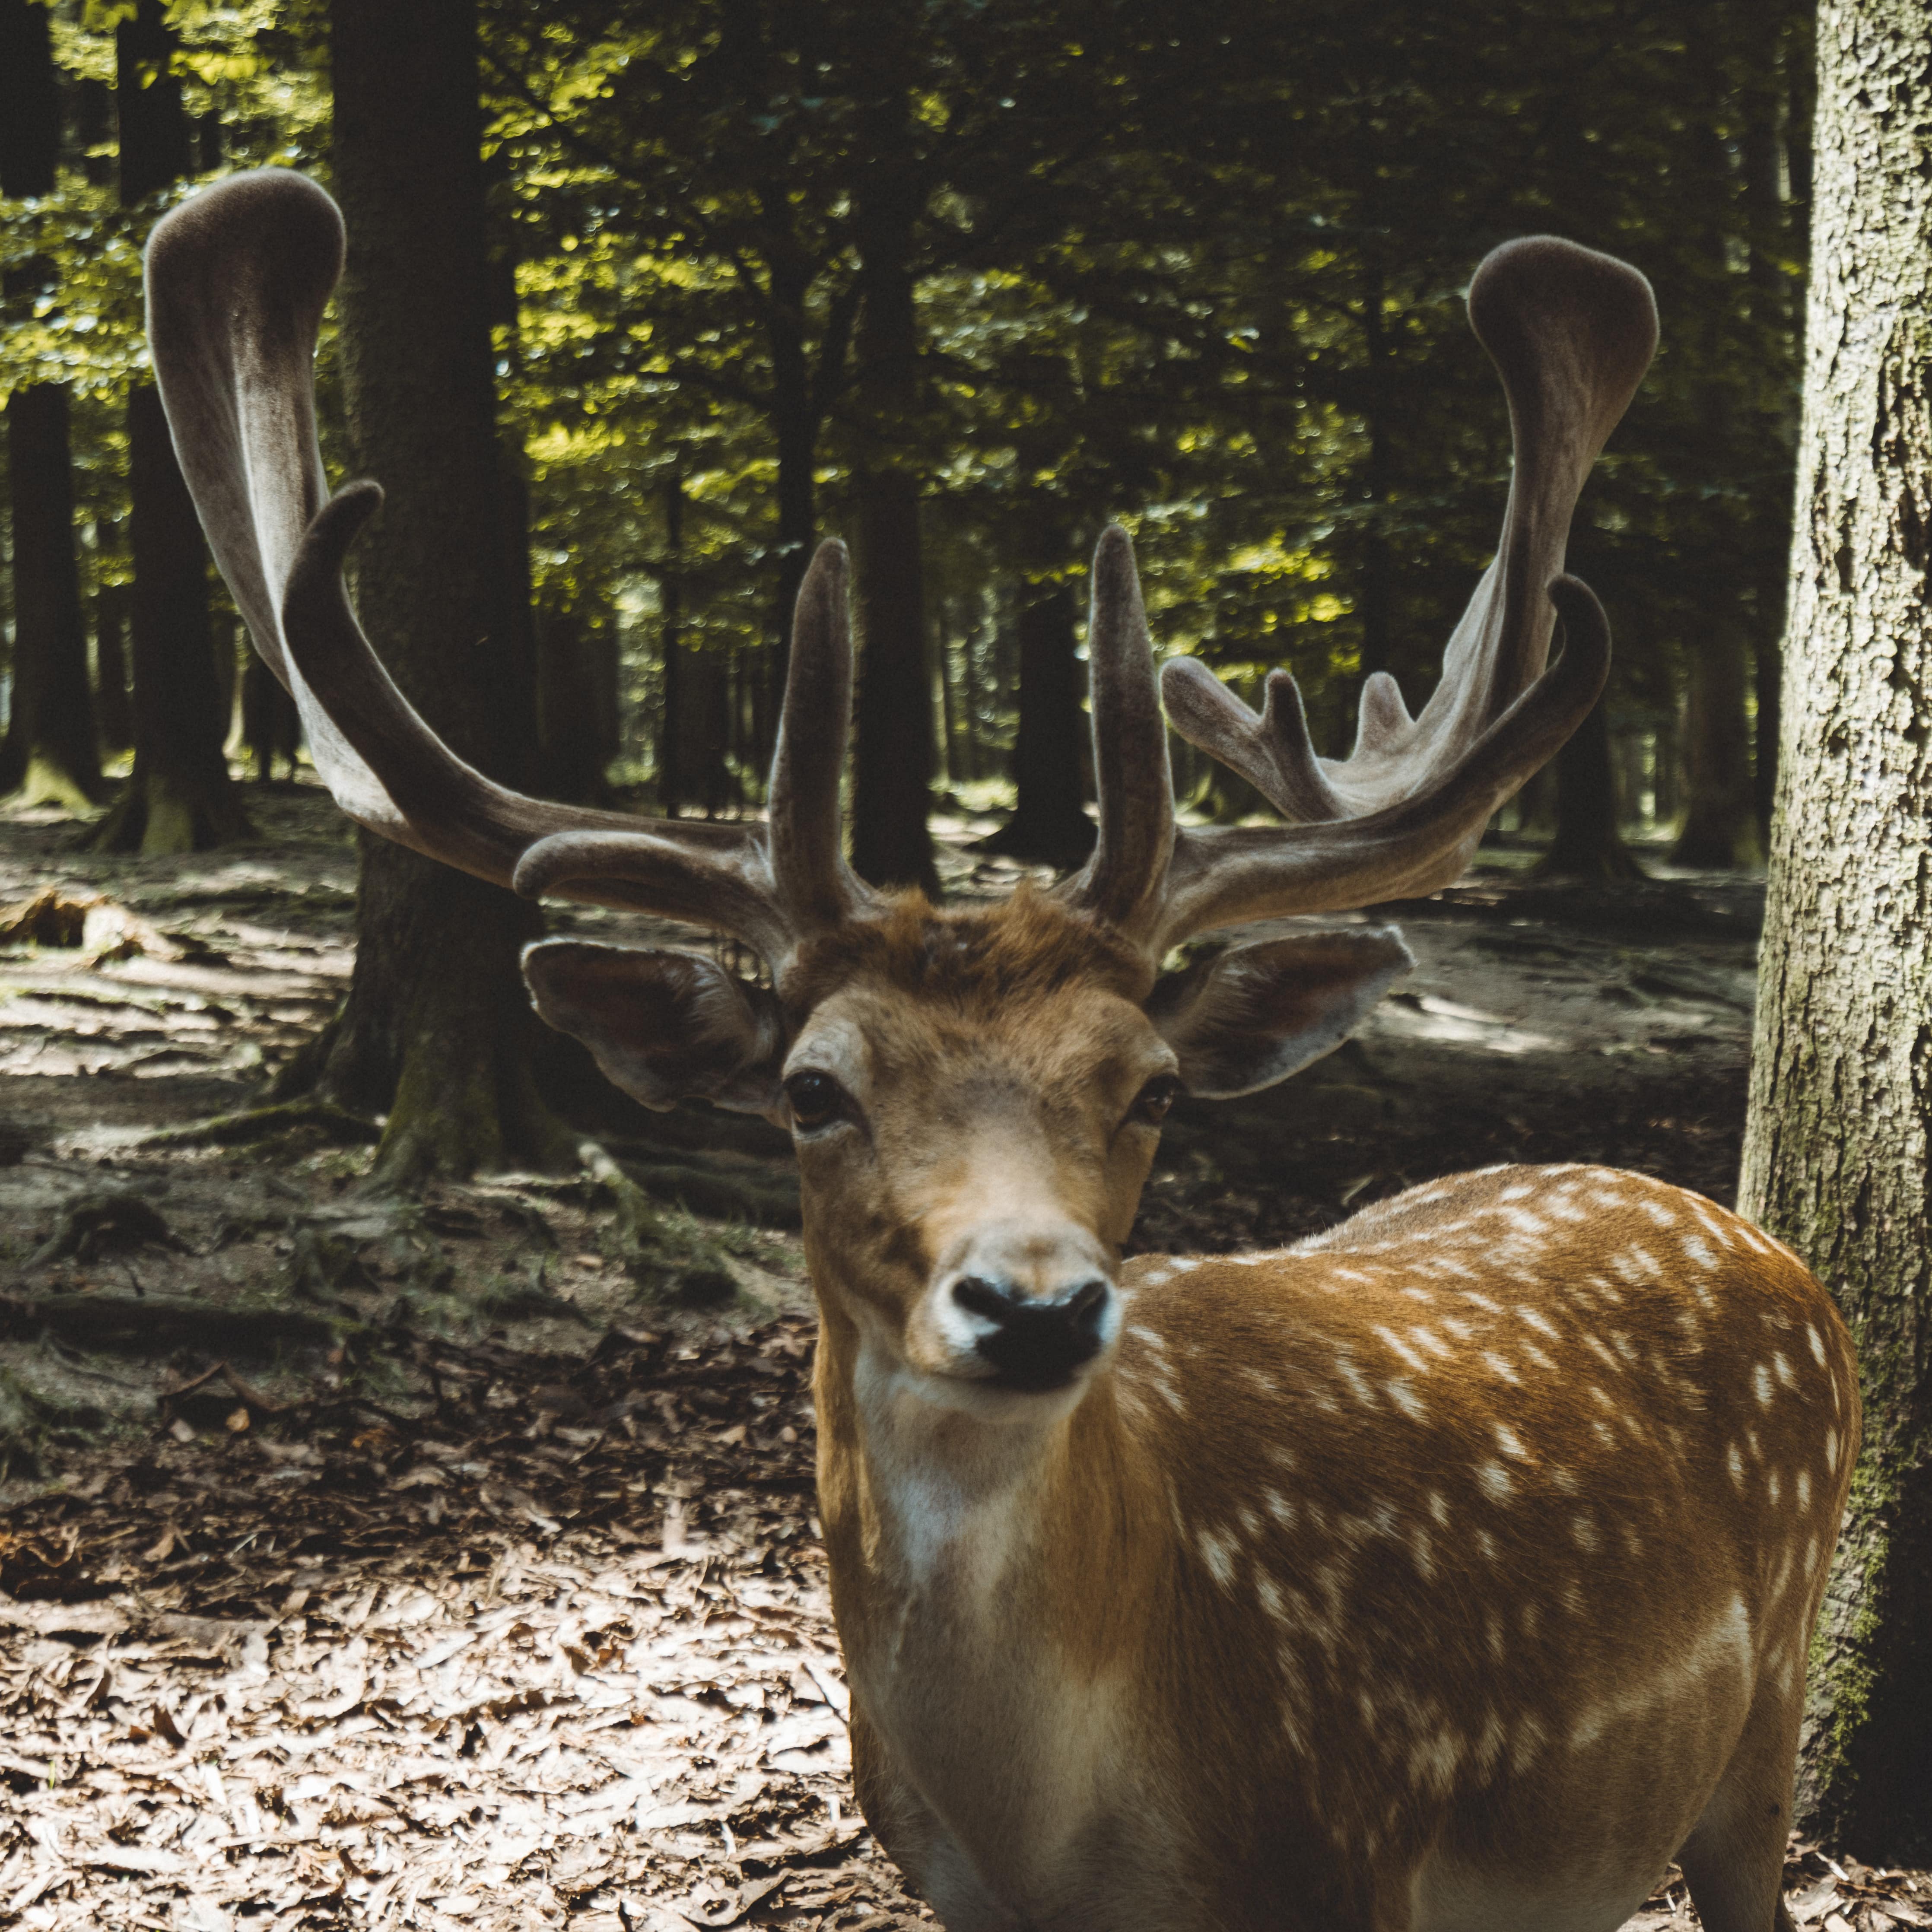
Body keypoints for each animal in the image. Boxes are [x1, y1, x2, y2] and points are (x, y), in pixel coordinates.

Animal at [150, 170, 1855, 1932]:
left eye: (1150, 1083)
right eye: (808, 1088)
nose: (1032, 1302)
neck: (1078, 1833)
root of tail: (1749, 1233)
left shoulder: (1361, 1842)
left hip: (1766, 1703)